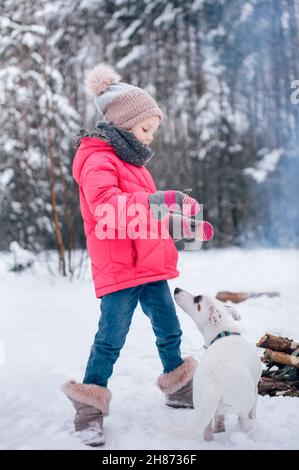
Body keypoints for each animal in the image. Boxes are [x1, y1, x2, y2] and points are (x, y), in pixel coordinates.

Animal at [173, 286, 262, 440]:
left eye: (197, 299)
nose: (176, 289)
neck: (224, 333)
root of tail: (213, 386)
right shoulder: (256, 387)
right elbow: (254, 410)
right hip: (243, 402)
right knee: (243, 419)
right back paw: (251, 430)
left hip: (204, 406)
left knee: (208, 429)